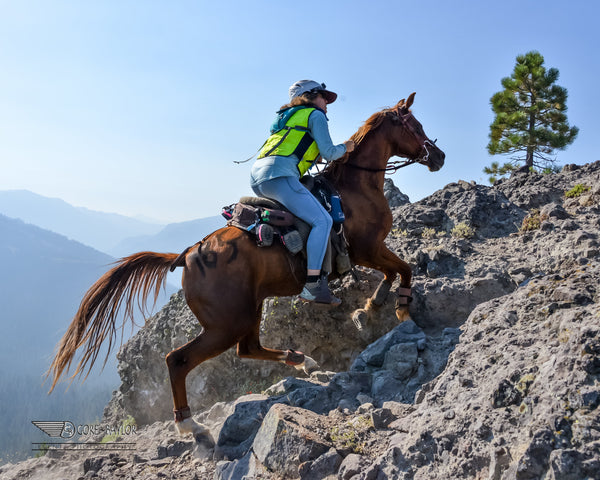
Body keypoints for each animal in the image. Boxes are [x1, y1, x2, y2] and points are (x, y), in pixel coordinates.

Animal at [47, 91, 442, 438]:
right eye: (416, 125)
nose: (438, 155)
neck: (356, 187)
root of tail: (188, 255)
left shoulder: (369, 251)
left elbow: (394, 271)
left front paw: (371, 305)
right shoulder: (368, 249)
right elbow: (403, 269)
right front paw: (398, 309)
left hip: (250, 307)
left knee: (247, 348)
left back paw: (302, 360)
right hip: (226, 323)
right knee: (180, 360)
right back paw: (190, 425)